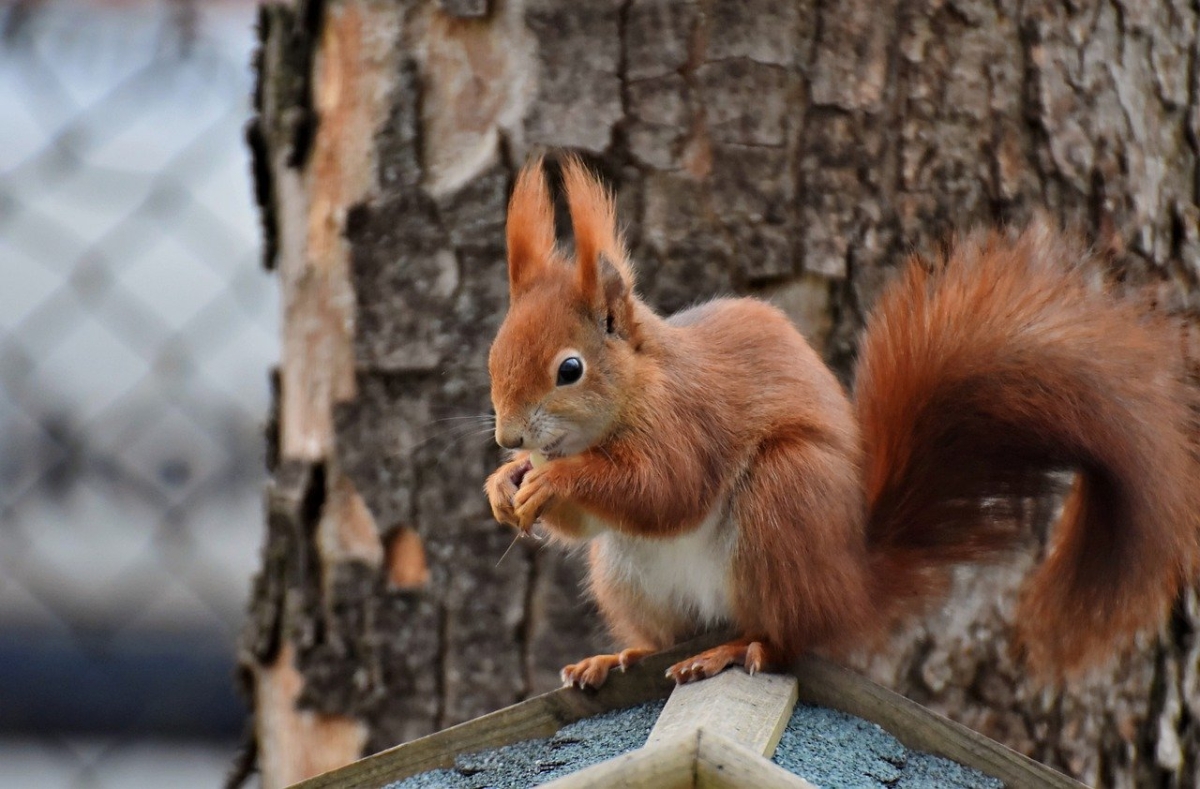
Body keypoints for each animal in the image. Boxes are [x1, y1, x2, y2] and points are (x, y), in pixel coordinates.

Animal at [482, 153, 1195, 681]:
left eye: (569, 369)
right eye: (494, 353)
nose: (508, 436)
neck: (635, 390)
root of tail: (851, 584)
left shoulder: (689, 419)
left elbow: (665, 489)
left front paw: (557, 478)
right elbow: (585, 521)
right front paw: (505, 484)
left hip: (783, 500)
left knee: (786, 640)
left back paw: (734, 651)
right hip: (628, 575)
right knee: (666, 634)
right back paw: (619, 656)